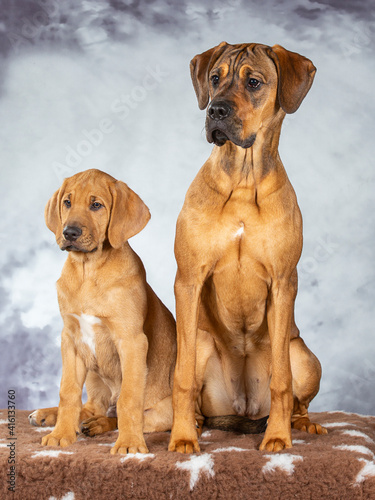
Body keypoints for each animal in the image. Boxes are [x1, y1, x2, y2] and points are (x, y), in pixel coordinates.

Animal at [30, 168, 176, 454]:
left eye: (96, 205)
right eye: (67, 202)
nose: (69, 232)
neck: (88, 269)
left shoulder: (131, 341)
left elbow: (129, 399)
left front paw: (129, 444)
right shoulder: (70, 338)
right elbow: (68, 392)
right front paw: (60, 434)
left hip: (167, 411)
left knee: (125, 414)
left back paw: (100, 425)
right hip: (93, 374)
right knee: (92, 407)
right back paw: (51, 415)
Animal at [169, 43, 328, 456]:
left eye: (254, 82)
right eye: (214, 78)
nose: (215, 111)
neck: (242, 178)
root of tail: (242, 408)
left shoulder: (283, 281)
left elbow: (282, 384)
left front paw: (278, 437)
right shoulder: (188, 280)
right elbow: (181, 379)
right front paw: (182, 438)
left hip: (302, 354)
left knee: (297, 398)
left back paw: (302, 424)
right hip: (201, 343)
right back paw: (194, 423)